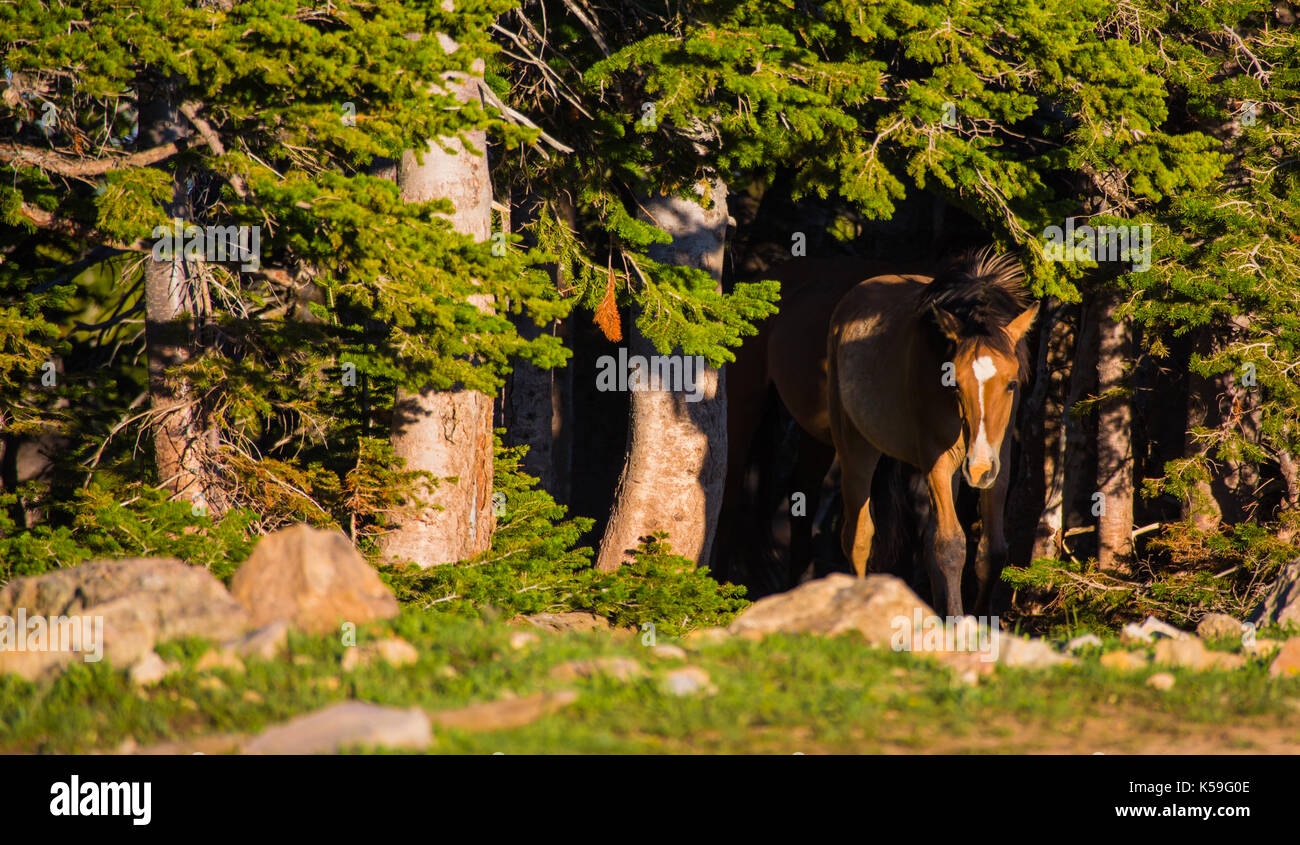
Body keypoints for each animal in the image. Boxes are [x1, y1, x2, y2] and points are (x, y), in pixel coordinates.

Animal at [832, 248, 1034, 611]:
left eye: (1011, 384)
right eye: (954, 383)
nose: (978, 468)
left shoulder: (1000, 462)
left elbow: (992, 550)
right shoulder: (936, 462)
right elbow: (950, 547)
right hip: (856, 450)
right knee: (858, 537)